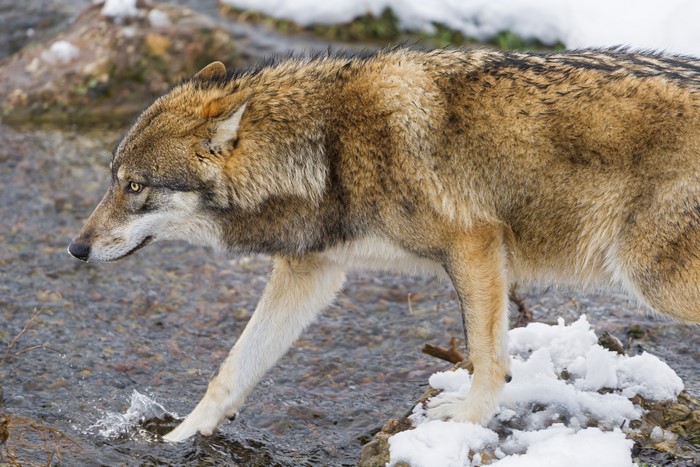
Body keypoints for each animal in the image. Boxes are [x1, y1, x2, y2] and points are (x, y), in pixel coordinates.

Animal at [68, 47, 700, 442]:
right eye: (112, 179)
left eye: (135, 187)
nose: (76, 249)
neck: (326, 150)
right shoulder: (312, 272)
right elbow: (232, 369)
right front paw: (179, 437)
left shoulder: (474, 246)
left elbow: (489, 359)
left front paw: (464, 421)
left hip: (651, 278)